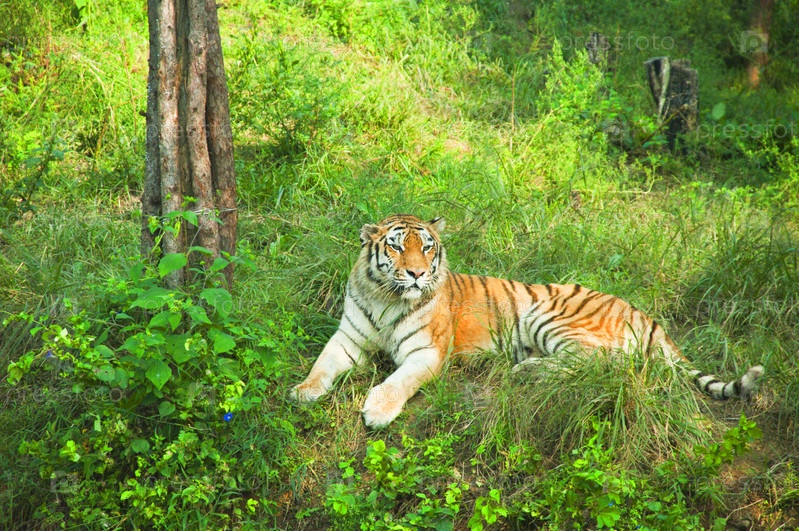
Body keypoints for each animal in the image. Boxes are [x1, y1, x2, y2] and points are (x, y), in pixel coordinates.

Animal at [290, 214, 764, 428]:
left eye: (426, 248)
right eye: (395, 247)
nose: (418, 274)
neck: (387, 297)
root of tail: (641, 312)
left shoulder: (427, 351)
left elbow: (399, 381)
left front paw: (378, 411)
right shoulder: (348, 339)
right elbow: (322, 364)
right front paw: (302, 392)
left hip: (548, 315)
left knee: (604, 363)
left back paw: (527, 370)